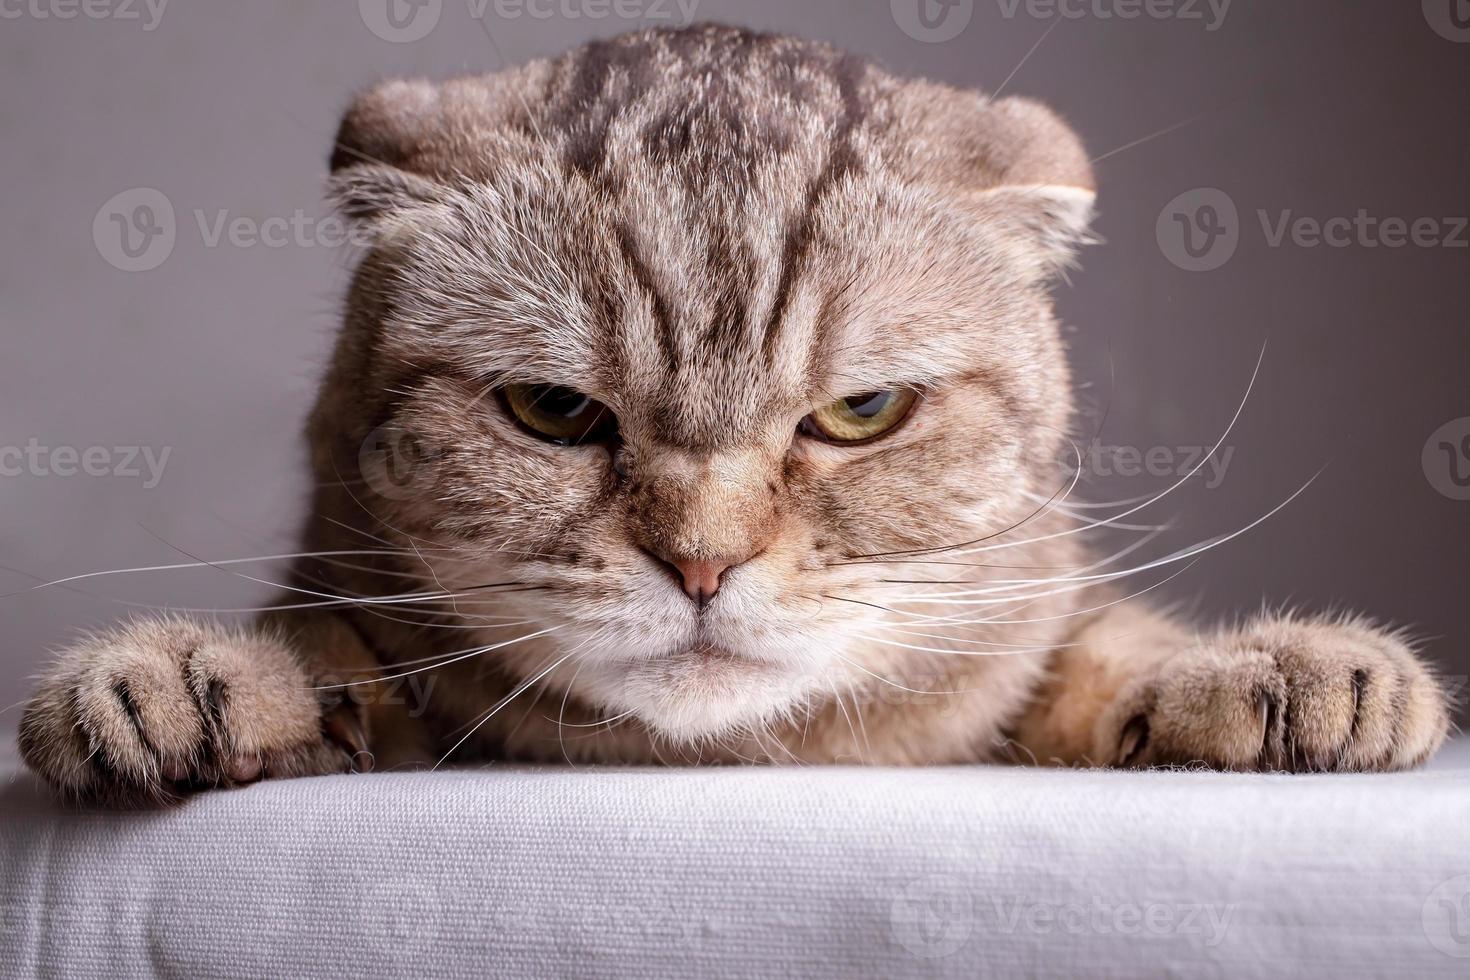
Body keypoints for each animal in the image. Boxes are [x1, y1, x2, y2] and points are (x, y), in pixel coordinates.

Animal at [17, 24, 1452, 805]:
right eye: (552, 410)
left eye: (861, 410)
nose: (702, 564)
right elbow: (322, 644)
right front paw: (190, 677)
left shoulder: (1028, 627)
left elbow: (1107, 648)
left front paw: (1268, 669)